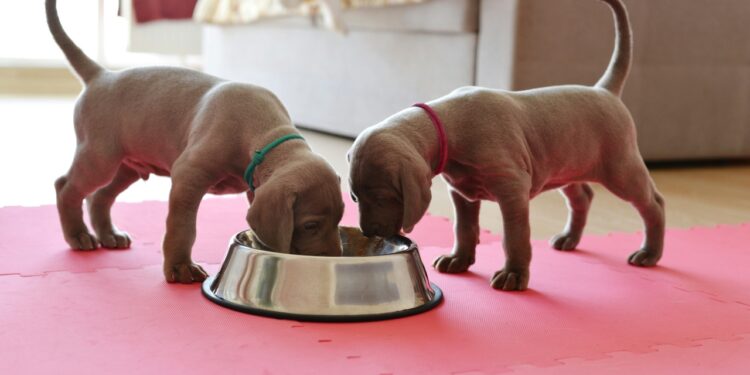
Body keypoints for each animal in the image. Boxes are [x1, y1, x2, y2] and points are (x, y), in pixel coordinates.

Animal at [48, 0, 348, 284]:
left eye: (341, 217)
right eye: (310, 225)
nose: (335, 258)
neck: (264, 134)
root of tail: (102, 75)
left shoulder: (255, 188)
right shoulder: (188, 176)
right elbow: (183, 228)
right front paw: (180, 267)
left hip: (128, 166)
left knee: (99, 196)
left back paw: (108, 234)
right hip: (100, 157)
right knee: (66, 186)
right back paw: (78, 235)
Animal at [350, 0, 668, 292]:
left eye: (382, 196)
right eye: (354, 197)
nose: (367, 232)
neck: (449, 127)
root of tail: (604, 90)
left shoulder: (512, 188)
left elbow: (514, 236)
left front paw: (514, 274)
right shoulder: (462, 193)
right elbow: (464, 228)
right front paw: (459, 258)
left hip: (620, 168)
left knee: (653, 203)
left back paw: (649, 253)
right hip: (566, 163)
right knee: (583, 197)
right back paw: (570, 238)